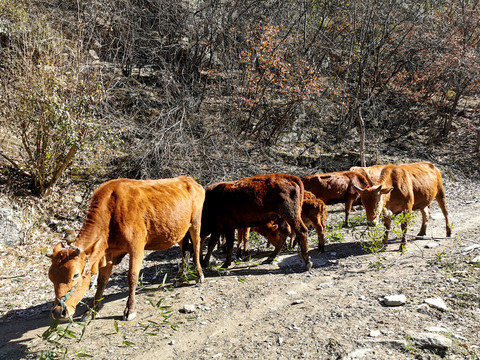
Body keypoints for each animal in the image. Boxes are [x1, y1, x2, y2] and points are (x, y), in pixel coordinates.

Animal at [47, 177, 205, 320]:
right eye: (51, 277)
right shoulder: (108, 253)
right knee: (185, 251)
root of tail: (191, 180)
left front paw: (130, 309)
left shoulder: (137, 247)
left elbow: (132, 277)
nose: (58, 312)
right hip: (179, 231)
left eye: (75, 275)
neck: (111, 211)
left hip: (195, 223)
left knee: (196, 247)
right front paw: (91, 311)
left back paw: (199, 275)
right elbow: (102, 282)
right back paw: (179, 278)